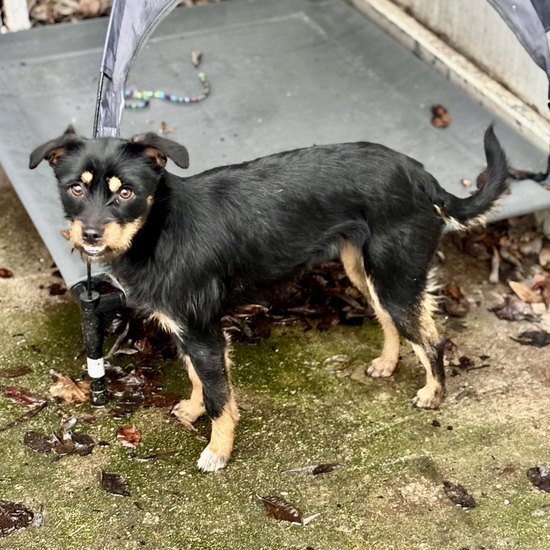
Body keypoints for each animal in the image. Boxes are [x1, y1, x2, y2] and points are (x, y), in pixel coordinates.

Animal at [29, 126, 508, 472]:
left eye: (126, 192)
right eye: (75, 188)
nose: (90, 235)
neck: (158, 229)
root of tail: (422, 177)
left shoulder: (203, 333)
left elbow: (220, 398)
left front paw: (218, 451)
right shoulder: (190, 331)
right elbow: (199, 379)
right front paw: (193, 409)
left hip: (395, 277)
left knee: (432, 338)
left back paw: (433, 394)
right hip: (367, 272)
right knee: (391, 321)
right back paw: (388, 364)